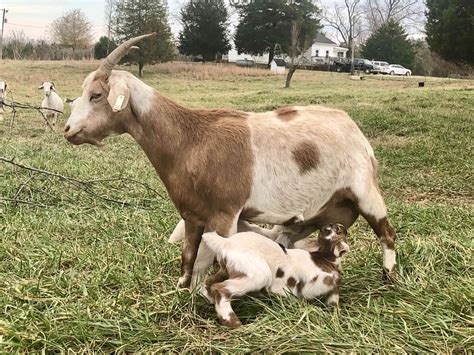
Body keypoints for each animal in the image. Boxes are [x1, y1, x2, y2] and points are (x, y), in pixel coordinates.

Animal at [63, 33, 396, 290]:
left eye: (96, 95)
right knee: (289, 242)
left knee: (388, 234)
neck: (191, 139)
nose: (68, 130)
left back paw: (389, 279)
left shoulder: (225, 214)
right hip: (312, 216)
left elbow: (212, 260)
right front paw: (181, 290)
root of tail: (354, 129)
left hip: (365, 192)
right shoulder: (192, 215)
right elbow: (189, 257)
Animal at [200, 224, 348, 330]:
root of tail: (226, 243)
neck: (326, 261)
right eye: (337, 230)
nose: (340, 226)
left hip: (225, 270)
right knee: (221, 288)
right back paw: (233, 322)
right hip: (257, 275)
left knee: (209, 284)